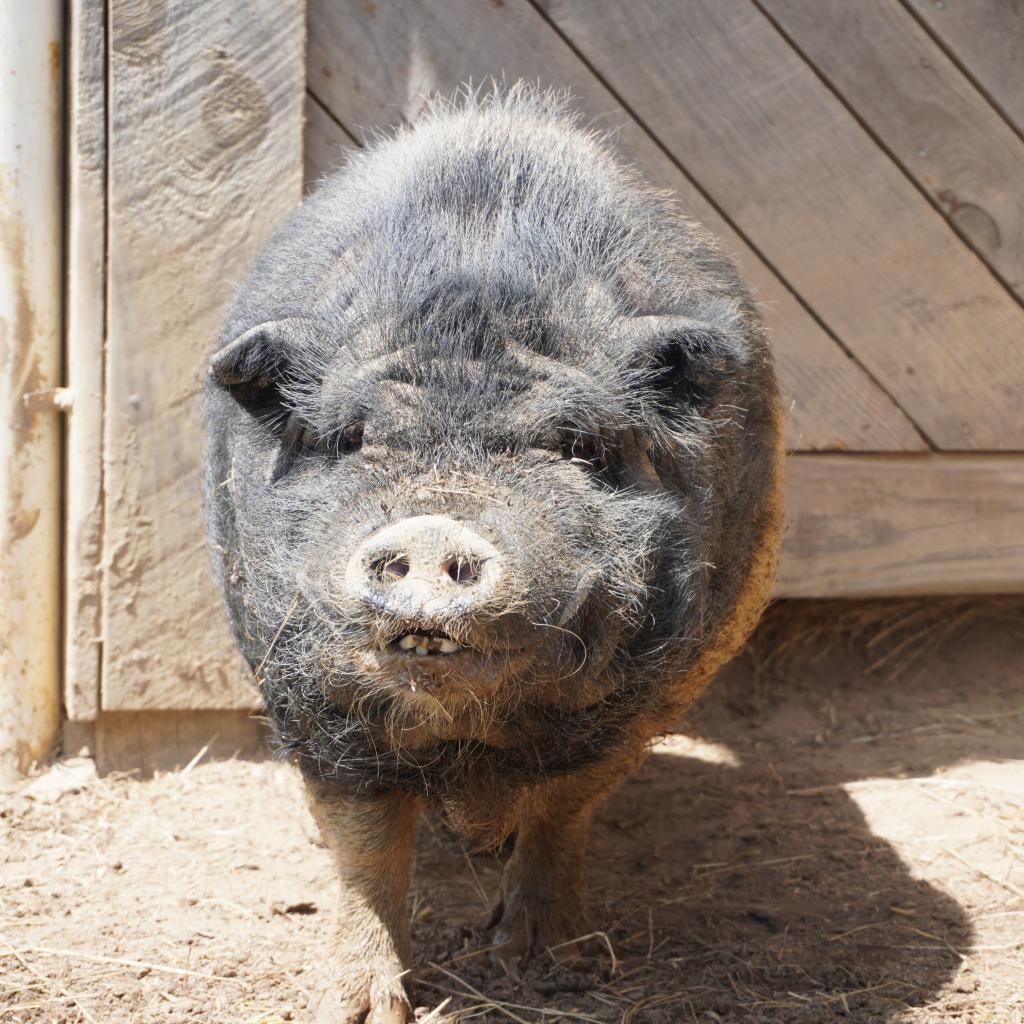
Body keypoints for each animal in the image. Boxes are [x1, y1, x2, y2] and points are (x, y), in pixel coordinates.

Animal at [204, 86, 783, 1023]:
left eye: (575, 444)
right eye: (353, 438)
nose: (434, 527)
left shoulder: (640, 695)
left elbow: (560, 813)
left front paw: (547, 967)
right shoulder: (300, 691)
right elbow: (365, 846)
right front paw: (359, 1004)